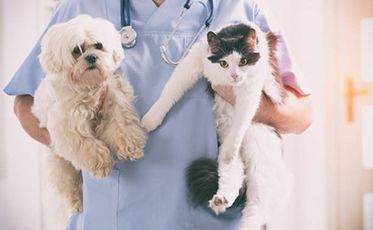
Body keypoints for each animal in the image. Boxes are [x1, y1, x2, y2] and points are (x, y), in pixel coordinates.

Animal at [32, 15, 146, 227]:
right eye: (77, 50)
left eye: (98, 46)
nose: (92, 57)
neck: (88, 88)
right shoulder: (68, 126)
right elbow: (87, 145)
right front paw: (101, 164)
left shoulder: (114, 100)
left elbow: (121, 126)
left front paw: (130, 147)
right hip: (60, 165)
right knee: (69, 185)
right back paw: (76, 201)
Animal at [141, 22, 292, 230]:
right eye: (224, 63)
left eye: (243, 61)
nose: (235, 75)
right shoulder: (194, 61)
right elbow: (170, 91)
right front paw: (150, 120)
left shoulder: (250, 89)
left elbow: (242, 119)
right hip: (234, 160)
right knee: (232, 175)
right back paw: (220, 200)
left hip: (262, 169)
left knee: (255, 210)